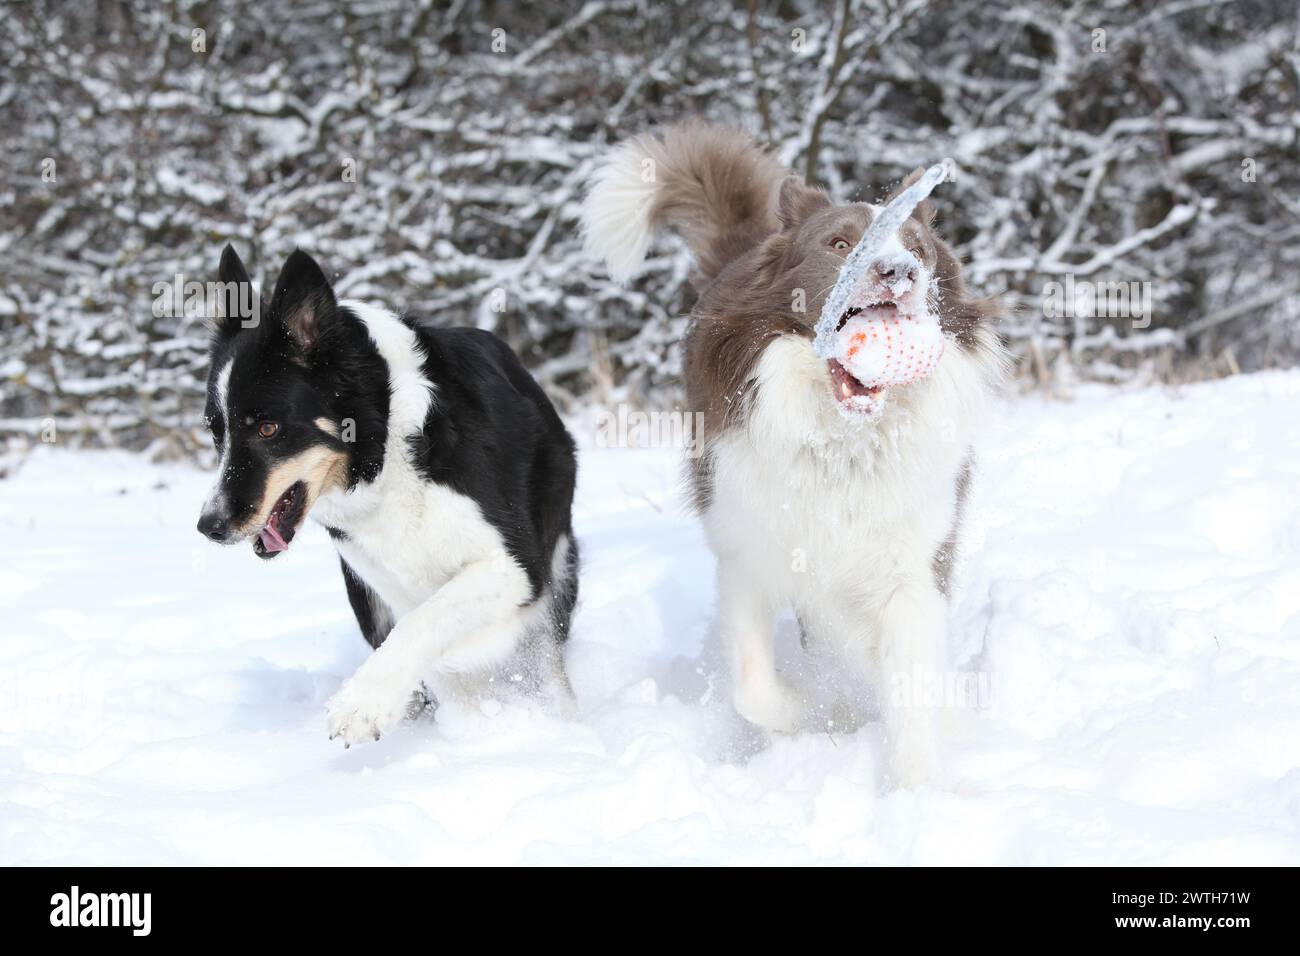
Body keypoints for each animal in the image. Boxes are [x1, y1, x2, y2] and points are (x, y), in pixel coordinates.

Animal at [193, 247, 579, 749]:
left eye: (268, 428)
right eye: (214, 432)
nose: (210, 525)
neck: (388, 447)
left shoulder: (516, 568)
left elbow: (427, 622)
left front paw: (362, 705)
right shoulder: (387, 583)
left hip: (557, 576)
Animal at [585, 123, 1008, 790]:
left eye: (919, 249)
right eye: (840, 243)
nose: (899, 272)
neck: (845, 440)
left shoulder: (914, 564)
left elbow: (911, 686)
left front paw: (916, 790)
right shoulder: (746, 550)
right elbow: (756, 686)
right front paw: (809, 709)